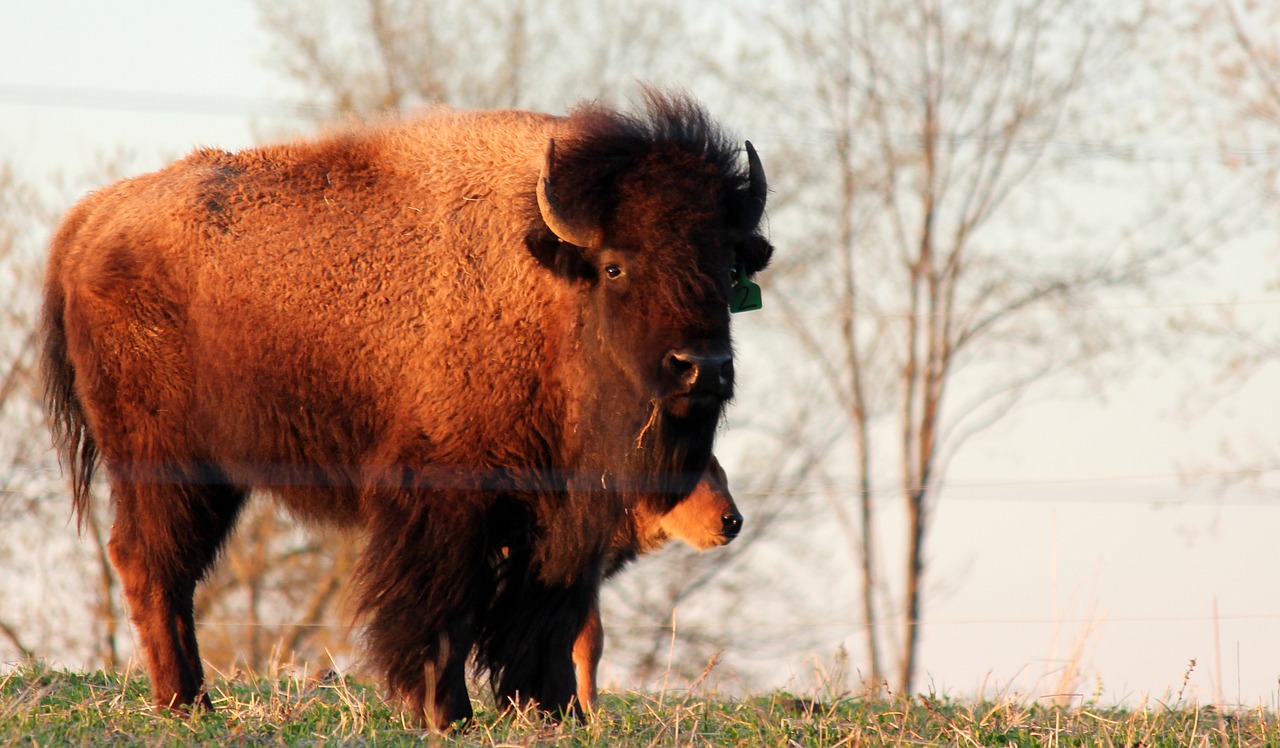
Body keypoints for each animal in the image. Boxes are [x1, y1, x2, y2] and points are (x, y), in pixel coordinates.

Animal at [42, 89, 768, 732]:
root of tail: (90, 221)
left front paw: (552, 712)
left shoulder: (559, 518)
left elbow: (546, 620)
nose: (702, 367)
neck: (546, 288)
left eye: (728, 266)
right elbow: (442, 613)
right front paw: (448, 715)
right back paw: (187, 705)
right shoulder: (444, 497)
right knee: (153, 566)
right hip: (166, 463)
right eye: (616, 267)